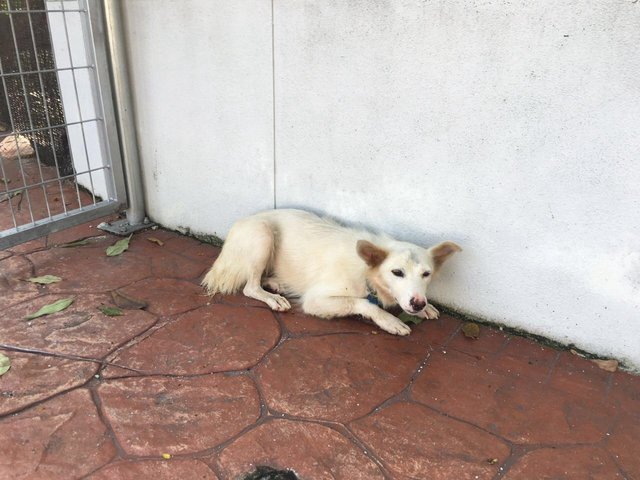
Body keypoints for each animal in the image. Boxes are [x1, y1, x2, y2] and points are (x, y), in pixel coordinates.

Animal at [201, 208, 460, 336]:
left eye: (426, 274)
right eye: (397, 272)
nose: (418, 303)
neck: (366, 273)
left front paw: (427, 308)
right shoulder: (316, 301)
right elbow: (363, 303)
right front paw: (389, 321)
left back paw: (277, 284)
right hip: (262, 233)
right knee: (250, 287)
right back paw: (273, 297)